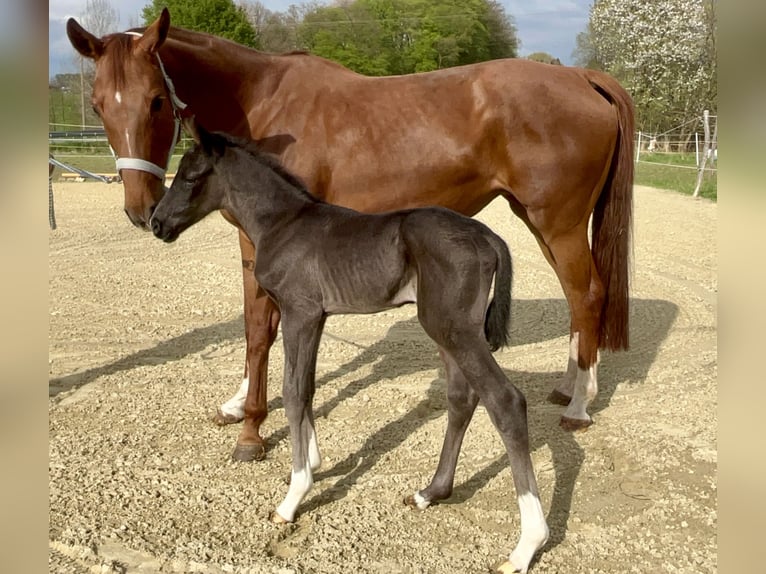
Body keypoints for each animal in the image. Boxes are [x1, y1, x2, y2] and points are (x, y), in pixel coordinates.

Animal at [66, 8, 634, 462]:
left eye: (156, 101)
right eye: (97, 105)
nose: (143, 210)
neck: (260, 99)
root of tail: (582, 78)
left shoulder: (263, 243)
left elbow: (260, 329)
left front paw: (252, 430)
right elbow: (254, 328)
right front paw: (238, 404)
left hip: (558, 223)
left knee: (588, 295)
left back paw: (579, 405)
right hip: (538, 223)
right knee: (577, 299)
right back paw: (568, 387)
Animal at [150, 119, 550, 574]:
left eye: (190, 176)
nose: (156, 223)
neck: (282, 223)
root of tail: (488, 236)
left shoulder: (299, 312)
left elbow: (292, 392)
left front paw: (292, 497)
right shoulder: (317, 317)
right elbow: (306, 388)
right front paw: (313, 464)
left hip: (454, 329)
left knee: (505, 400)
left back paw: (525, 546)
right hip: (445, 329)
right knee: (462, 398)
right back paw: (429, 493)